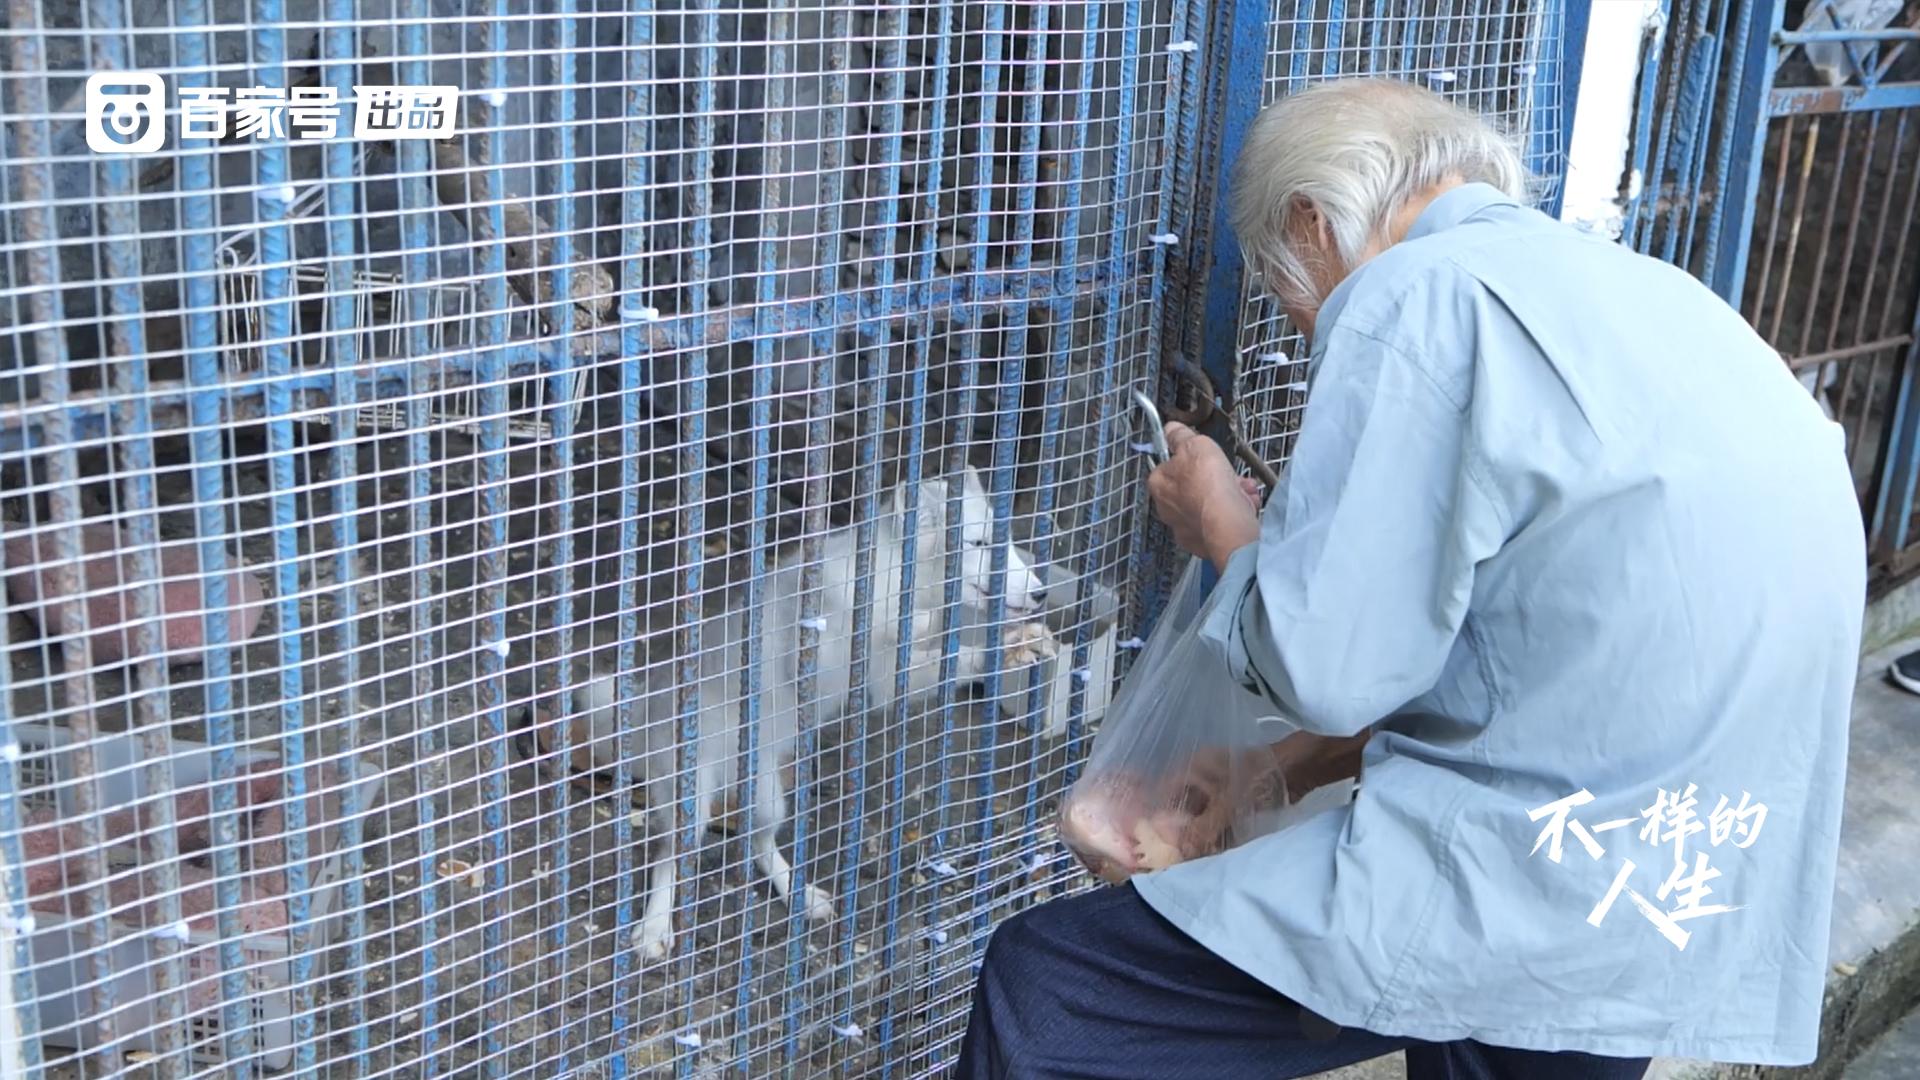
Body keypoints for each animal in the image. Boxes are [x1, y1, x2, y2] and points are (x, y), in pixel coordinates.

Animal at [526, 466, 1067, 953]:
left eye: (1009, 545)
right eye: (980, 544)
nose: (1042, 592)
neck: (892, 579)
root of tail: (651, 699)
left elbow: (950, 653)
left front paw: (1018, 645)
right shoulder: (855, 663)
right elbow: (927, 645)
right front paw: (969, 640)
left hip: (769, 797)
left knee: (758, 843)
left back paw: (799, 894)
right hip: (690, 800)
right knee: (670, 858)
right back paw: (655, 927)